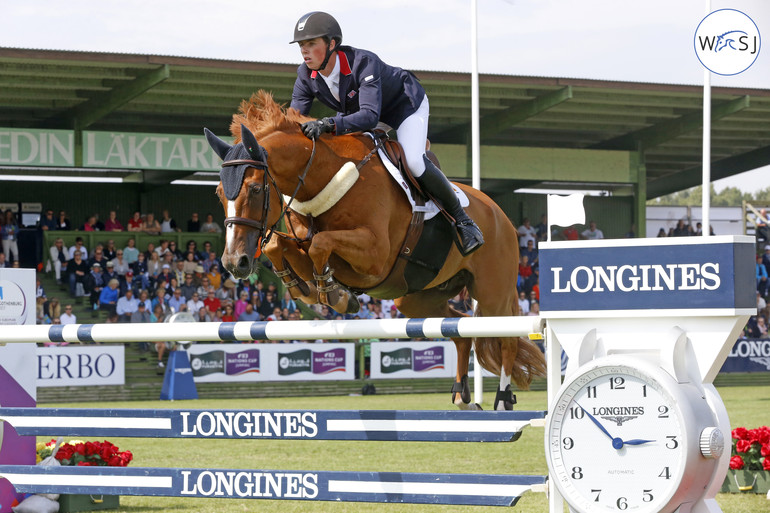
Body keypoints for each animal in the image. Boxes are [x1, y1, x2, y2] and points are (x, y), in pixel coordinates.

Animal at [204, 92, 544, 410]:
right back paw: (463, 397)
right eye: (219, 193)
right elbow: (283, 245)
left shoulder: (375, 257)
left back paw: (503, 398)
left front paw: (334, 294)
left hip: (493, 293)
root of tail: (502, 215)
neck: (324, 175)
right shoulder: (307, 244)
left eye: (255, 189)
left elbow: (320, 243)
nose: (234, 262)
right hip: (415, 298)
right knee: (459, 328)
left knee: (506, 342)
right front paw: (308, 289)